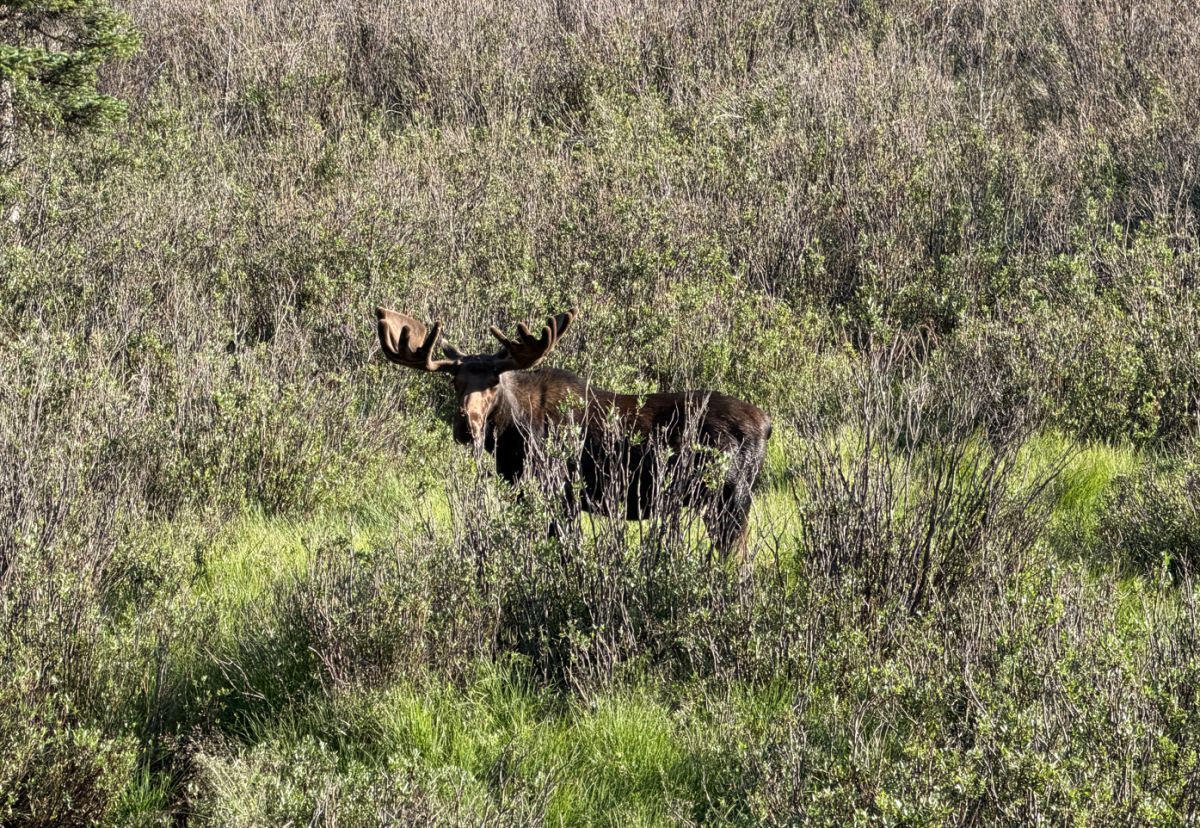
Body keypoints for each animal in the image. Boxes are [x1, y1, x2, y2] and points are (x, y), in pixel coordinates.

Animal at [376, 306, 772, 560]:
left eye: (494, 382)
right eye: (455, 381)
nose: (466, 427)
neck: (512, 435)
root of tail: (766, 426)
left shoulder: (559, 490)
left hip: (728, 497)